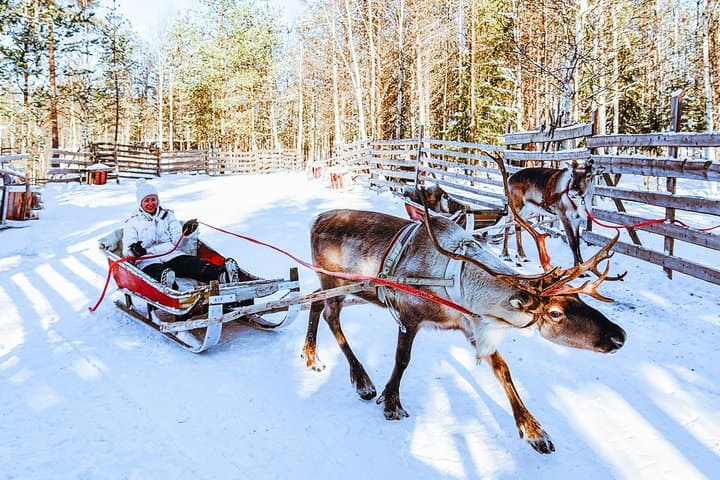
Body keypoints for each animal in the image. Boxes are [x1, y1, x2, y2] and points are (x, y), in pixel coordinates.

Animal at [302, 190, 626, 454]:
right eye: (555, 313)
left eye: (579, 299)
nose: (619, 336)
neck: (459, 283)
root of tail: (316, 219)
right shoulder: (409, 314)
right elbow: (402, 359)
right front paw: (391, 402)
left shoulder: (473, 324)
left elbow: (503, 370)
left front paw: (534, 431)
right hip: (336, 280)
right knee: (330, 315)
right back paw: (362, 381)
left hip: (356, 290)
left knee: (315, 299)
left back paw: (311, 356)